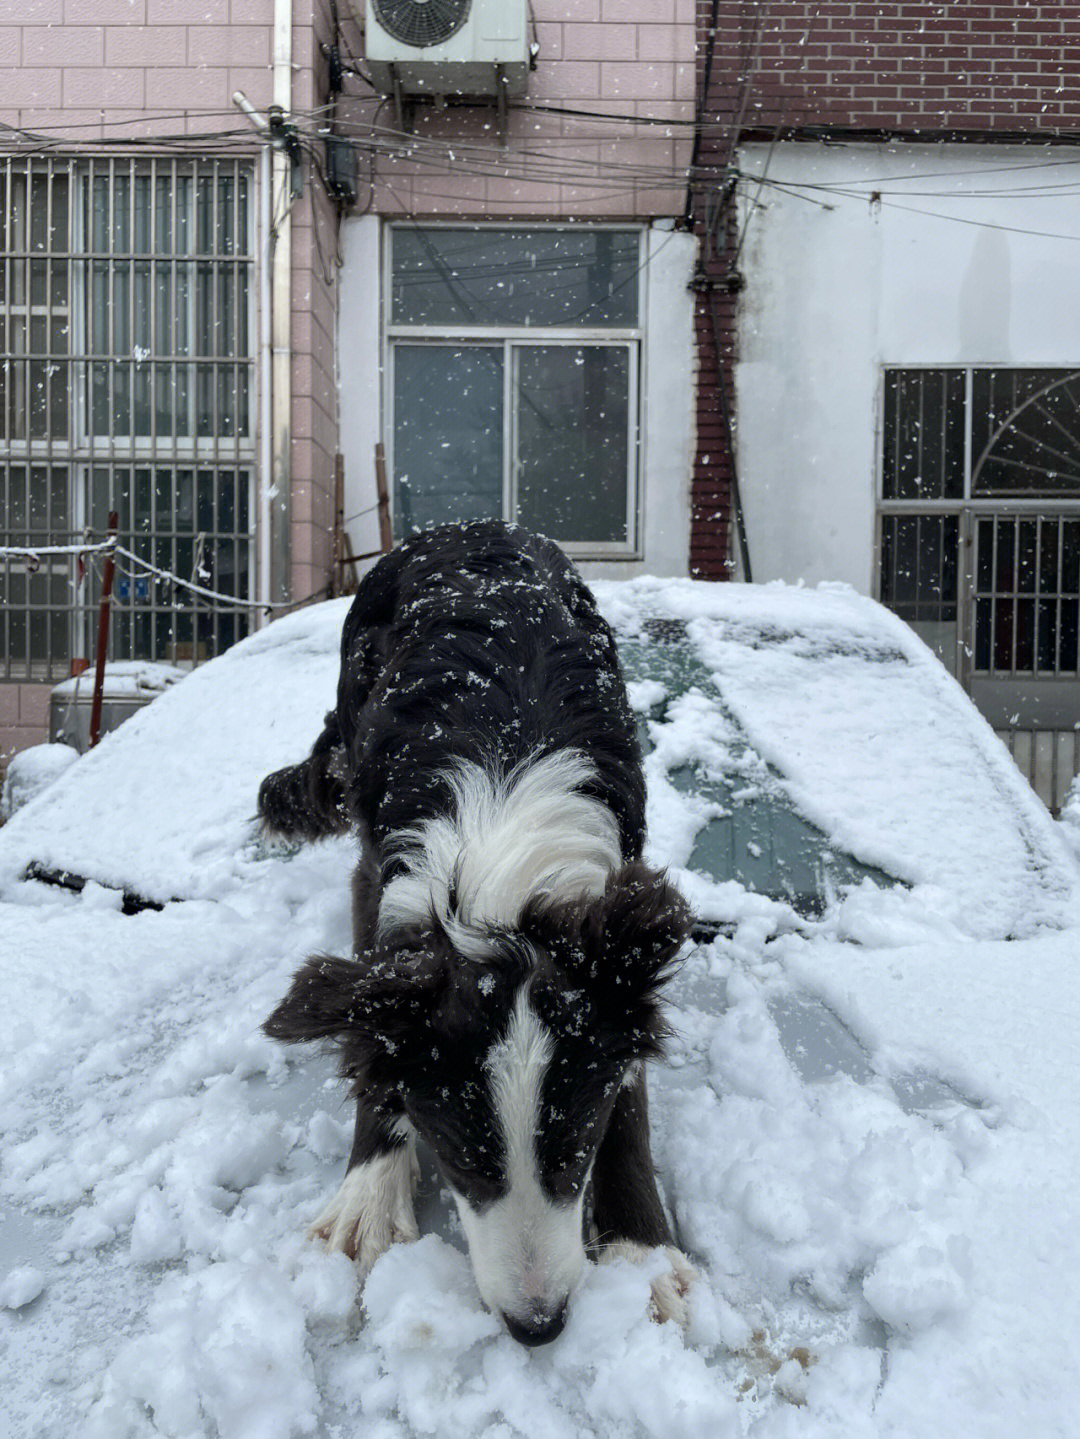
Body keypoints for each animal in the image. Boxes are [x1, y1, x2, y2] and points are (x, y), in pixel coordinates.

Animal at [260, 523, 693, 1341]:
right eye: (461, 1163)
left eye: (578, 1150)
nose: (539, 1326)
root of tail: (467, 527)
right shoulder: (378, 885)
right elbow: (374, 1031)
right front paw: (369, 1194)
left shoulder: (611, 936)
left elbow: (630, 1091)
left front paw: (641, 1253)